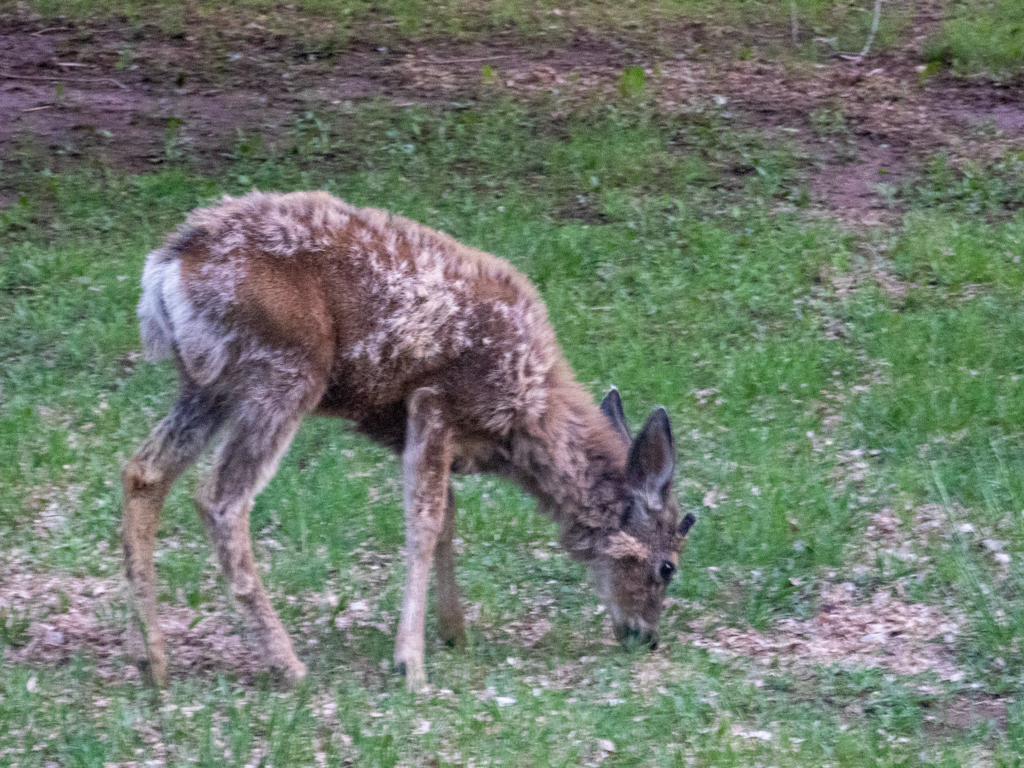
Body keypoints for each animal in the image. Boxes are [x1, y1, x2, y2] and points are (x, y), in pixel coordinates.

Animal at [119, 191, 696, 692]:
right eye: (667, 567)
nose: (646, 637)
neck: (527, 415)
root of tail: (166, 268)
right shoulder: (435, 400)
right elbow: (425, 522)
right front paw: (411, 665)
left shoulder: (405, 428)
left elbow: (447, 516)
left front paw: (455, 634)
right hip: (284, 370)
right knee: (221, 499)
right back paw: (289, 665)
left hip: (208, 384)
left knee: (144, 473)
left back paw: (155, 662)